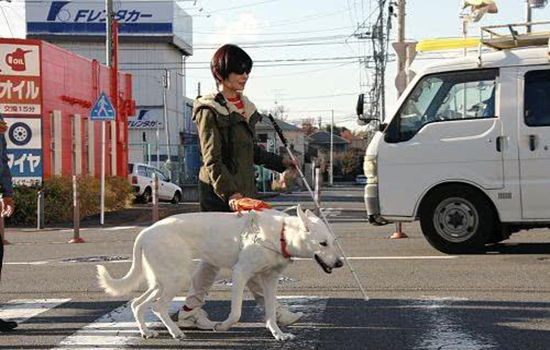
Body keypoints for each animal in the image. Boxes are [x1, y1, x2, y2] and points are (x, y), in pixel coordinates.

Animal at [97, 205, 342, 342]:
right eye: (323, 243)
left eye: (333, 241)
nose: (340, 263)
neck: (280, 234)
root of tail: (146, 231)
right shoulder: (240, 274)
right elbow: (236, 313)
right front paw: (222, 327)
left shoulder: (270, 281)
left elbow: (271, 312)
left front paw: (278, 334)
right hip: (177, 278)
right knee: (157, 307)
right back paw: (176, 332)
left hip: (160, 281)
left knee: (136, 304)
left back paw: (146, 332)